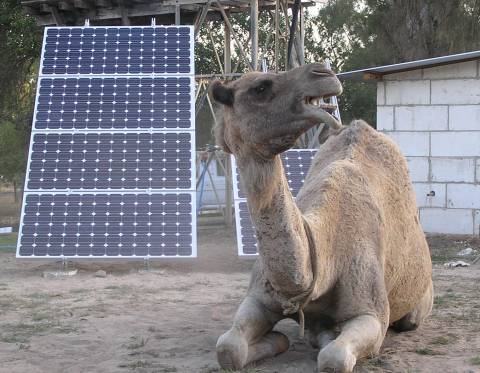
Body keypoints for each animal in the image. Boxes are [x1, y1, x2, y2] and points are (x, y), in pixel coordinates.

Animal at [210, 62, 436, 370]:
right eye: (260, 87)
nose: (323, 73)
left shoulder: (371, 313)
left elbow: (334, 357)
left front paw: (317, 337)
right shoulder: (258, 297)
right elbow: (228, 348)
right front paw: (280, 339)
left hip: (421, 296)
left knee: (409, 320)